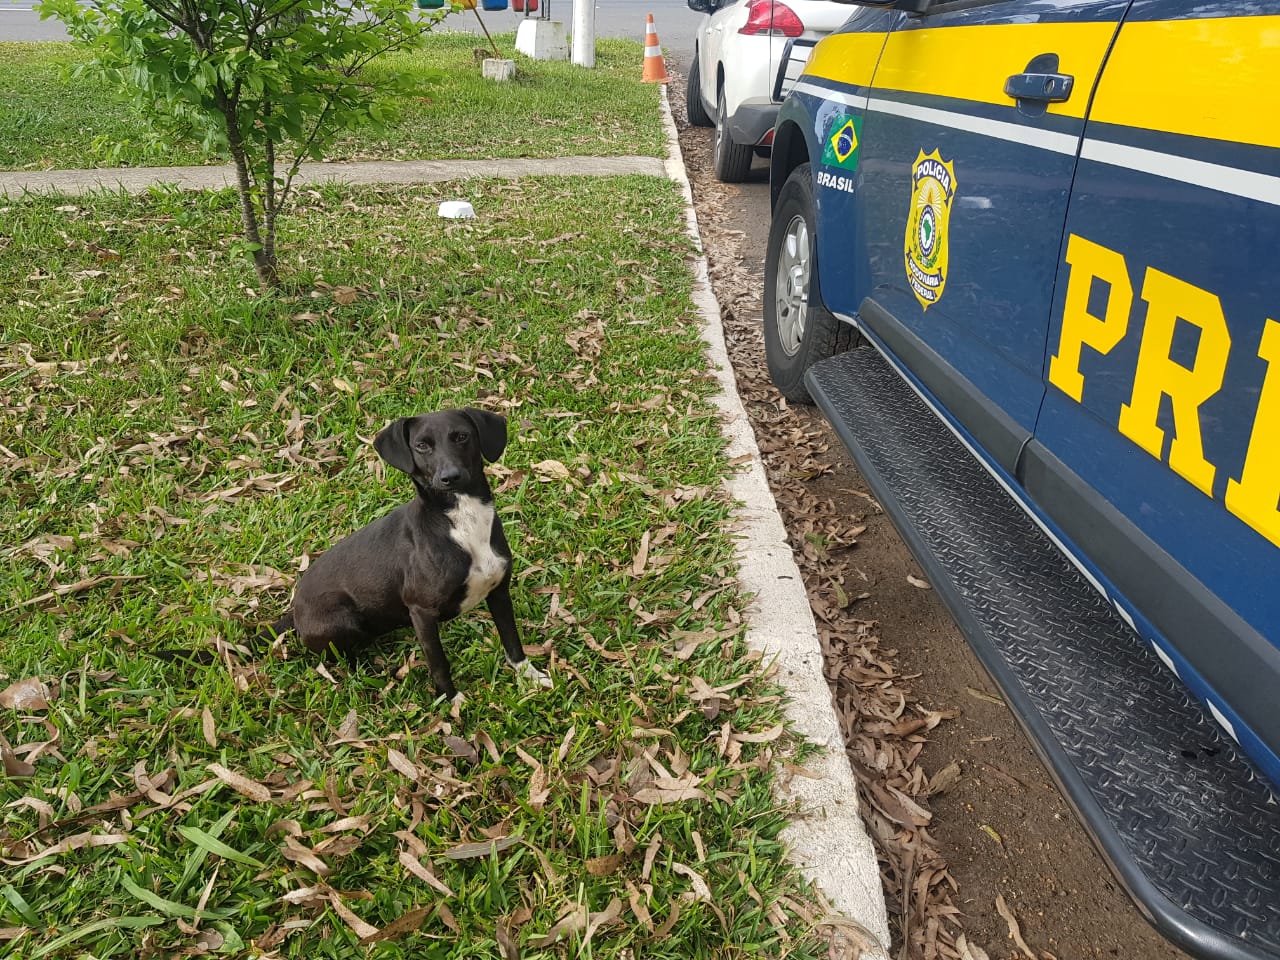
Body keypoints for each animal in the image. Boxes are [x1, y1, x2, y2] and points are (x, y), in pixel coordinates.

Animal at [267, 407, 547, 706]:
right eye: (421, 445)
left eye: (462, 436)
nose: (450, 477)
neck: (461, 520)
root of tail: (295, 612)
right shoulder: (421, 610)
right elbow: (438, 662)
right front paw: (452, 700)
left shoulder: (499, 592)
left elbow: (512, 640)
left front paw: (530, 675)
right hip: (343, 620)